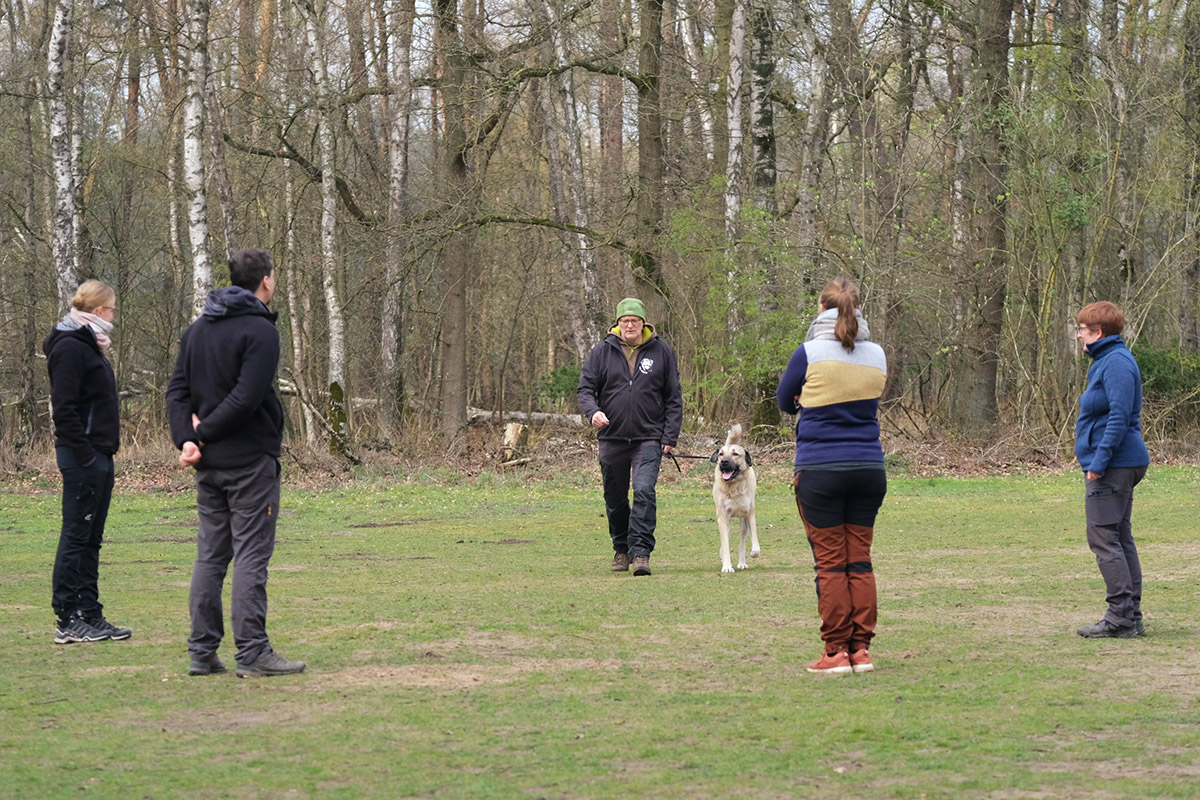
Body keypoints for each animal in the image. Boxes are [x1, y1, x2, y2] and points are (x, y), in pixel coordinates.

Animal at [710, 422, 758, 573]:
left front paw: (754, 552)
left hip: (743, 521)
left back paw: (742, 562)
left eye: (735, 454)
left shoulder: (749, 514)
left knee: (742, 542)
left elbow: (754, 542)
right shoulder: (723, 517)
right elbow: (725, 544)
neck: (734, 486)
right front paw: (726, 565)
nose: (723, 462)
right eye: (721, 454)